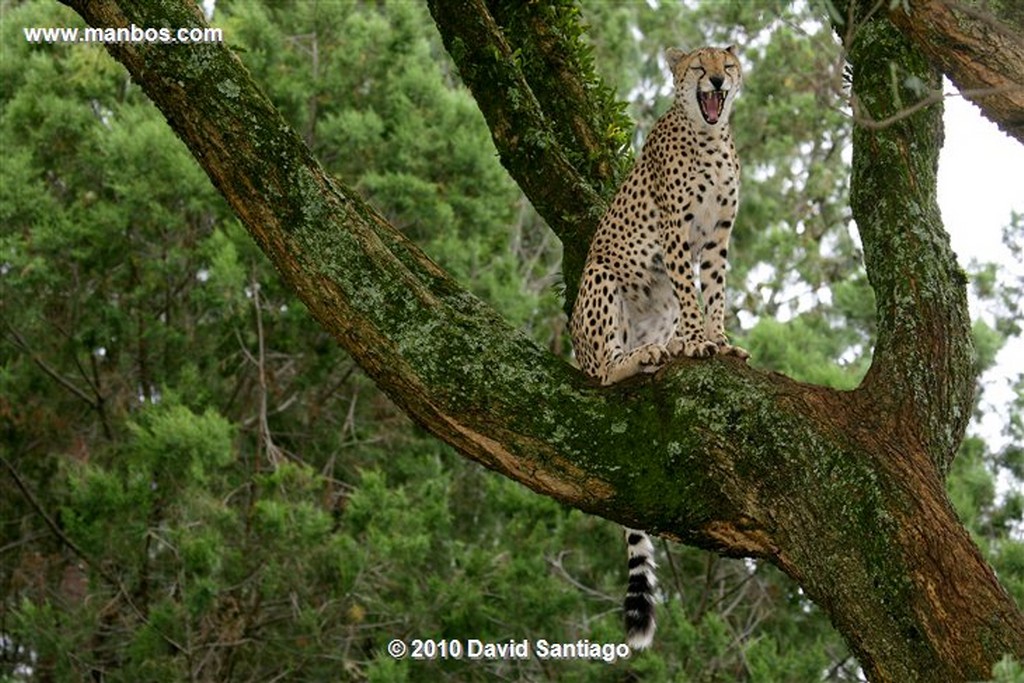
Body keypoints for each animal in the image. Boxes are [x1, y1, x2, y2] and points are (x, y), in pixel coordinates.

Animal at [565, 45, 749, 651]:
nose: (716, 80)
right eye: (698, 65)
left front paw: (720, 341)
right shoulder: (676, 233)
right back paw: (638, 359)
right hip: (601, 280)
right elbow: (693, 294)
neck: (709, 136)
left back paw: (659, 353)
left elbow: (715, 291)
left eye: (726, 64)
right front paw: (698, 343)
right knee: (603, 372)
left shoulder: (716, 237)